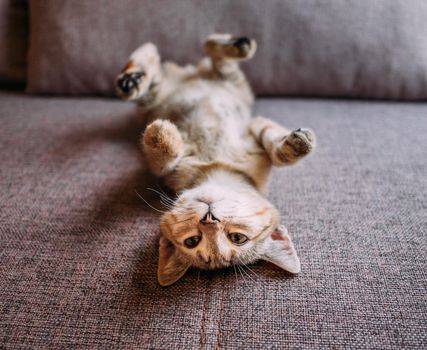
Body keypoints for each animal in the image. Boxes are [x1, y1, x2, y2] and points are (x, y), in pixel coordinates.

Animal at [115, 32, 316, 286]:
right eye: (192, 241)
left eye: (237, 238)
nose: (210, 219)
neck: (215, 168)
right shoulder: (166, 169)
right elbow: (165, 157)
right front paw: (162, 135)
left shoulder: (254, 135)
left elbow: (274, 146)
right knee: (206, 51)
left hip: (223, 86)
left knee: (207, 57)